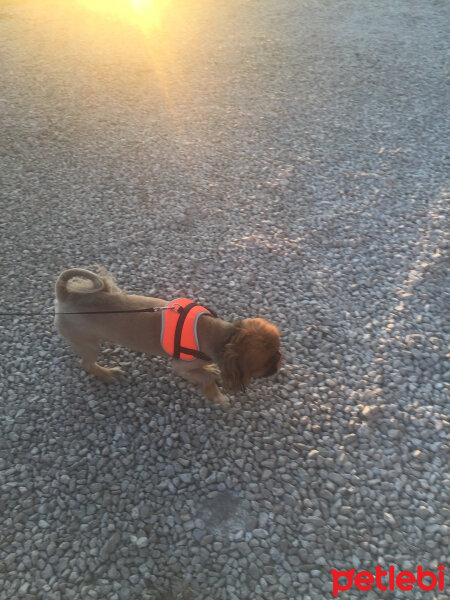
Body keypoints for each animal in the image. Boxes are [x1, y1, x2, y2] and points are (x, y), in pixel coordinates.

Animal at [54, 268, 282, 404]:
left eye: (278, 352)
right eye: (266, 363)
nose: (279, 362)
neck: (221, 336)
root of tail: (65, 295)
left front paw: (209, 369)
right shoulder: (180, 366)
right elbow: (206, 378)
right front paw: (216, 395)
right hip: (89, 345)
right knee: (87, 364)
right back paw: (106, 373)